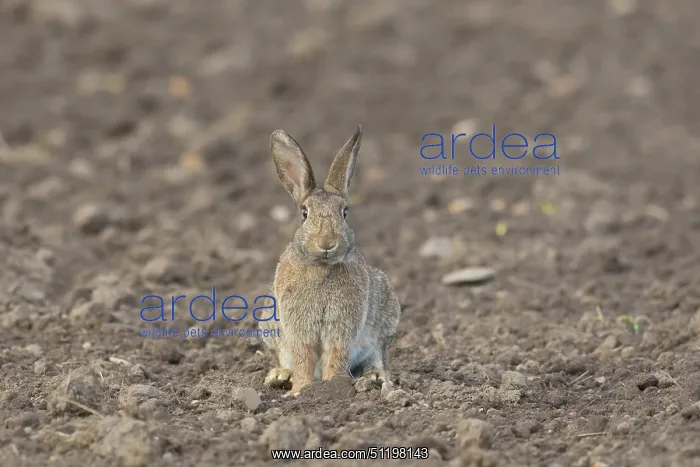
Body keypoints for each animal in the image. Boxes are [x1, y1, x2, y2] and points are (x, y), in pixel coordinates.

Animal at [256, 125, 401, 396]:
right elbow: (303, 359)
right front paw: (300, 390)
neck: (321, 268)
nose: (326, 243)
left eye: (345, 212)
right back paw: (280, 376)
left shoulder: (343, 327)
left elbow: (336, 356)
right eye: (304, 213)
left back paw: (376, 376)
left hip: (384, 322)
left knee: (378, 354)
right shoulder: (297, 328)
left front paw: (332, 387)